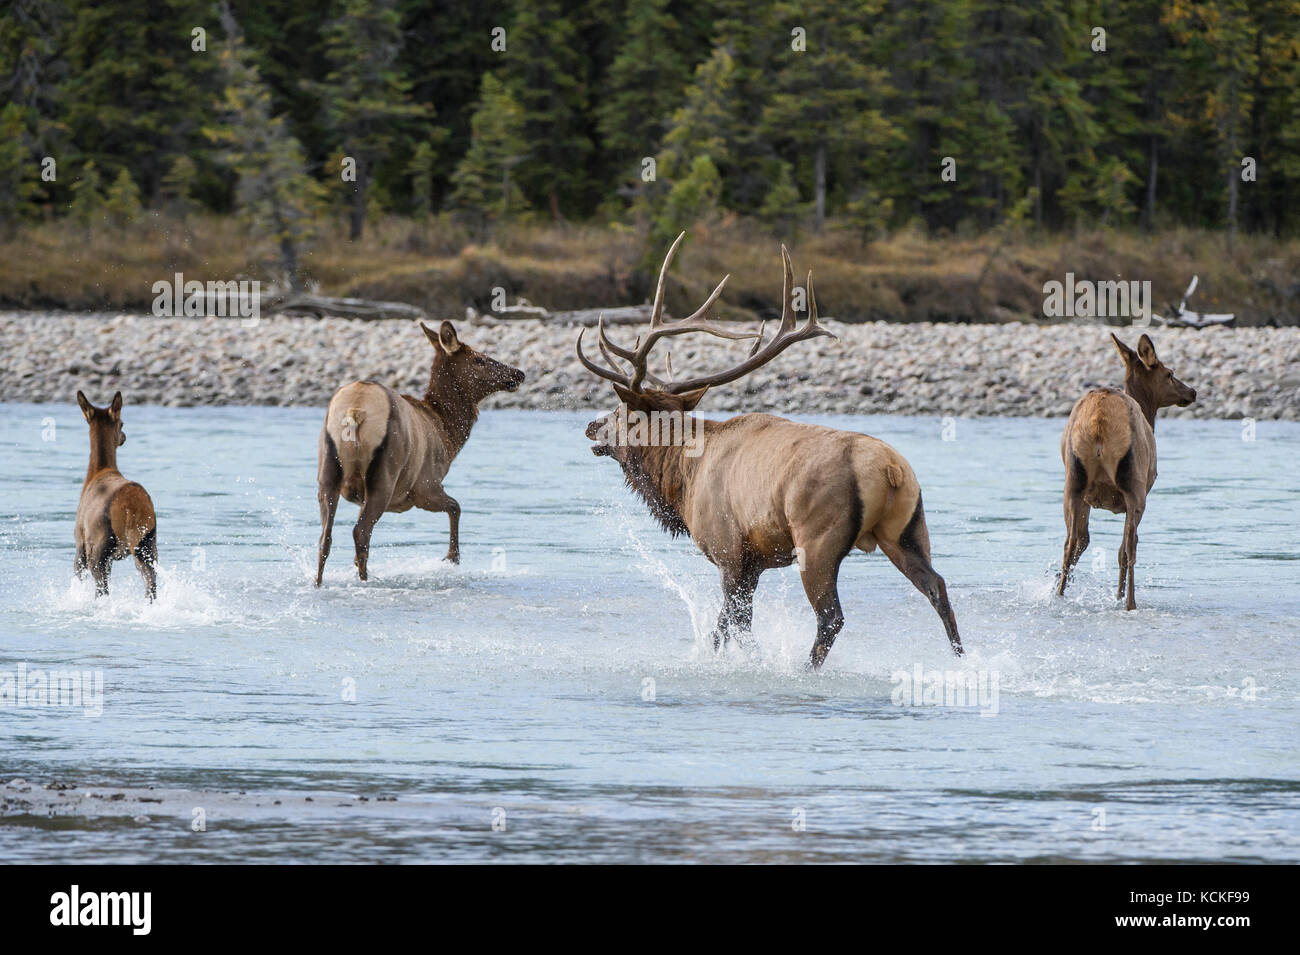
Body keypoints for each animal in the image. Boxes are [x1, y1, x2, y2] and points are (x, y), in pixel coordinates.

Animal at [74, 391, 158, 600]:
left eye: (122, 423)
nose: (123, 436)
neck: (96, 472)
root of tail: (132, 505)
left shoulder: (80, 544)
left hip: (99, 548)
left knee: (102, 590)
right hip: (147, 543)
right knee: (151, 584)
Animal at [315, 321, 525, 585]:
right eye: (479, 359)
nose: (518, 373)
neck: (447, 435)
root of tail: (355, 411)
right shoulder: (425, 486)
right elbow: (456, 506)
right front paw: (452, 558)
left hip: (328, 467)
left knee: (325, 538)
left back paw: (319, 583)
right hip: (386, 473)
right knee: (361, 532)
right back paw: (365, 581)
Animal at [576, 233, 962, 668]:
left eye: (621, 411)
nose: (591, 426)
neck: (683, 483)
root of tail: (891, 470)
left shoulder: (728, 550)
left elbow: (726, 625)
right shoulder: (755, 563)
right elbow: (740, 626)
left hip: (818, 538)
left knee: (831, 617)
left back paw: (805, 670)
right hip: (907, 529)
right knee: (937, 587)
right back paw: (962, 659)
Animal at [1056, 333, 1196, 610]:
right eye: (1169, 373)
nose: (1192, 391)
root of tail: (1099, 421)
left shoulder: (1084, 497)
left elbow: (1082, 542)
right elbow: (1123, 549)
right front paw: (1118, 595)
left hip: (1073, 483)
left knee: (1071, 543)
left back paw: (1056, 595)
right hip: (1134, 485)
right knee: (1130, 547)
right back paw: (1130, 602)